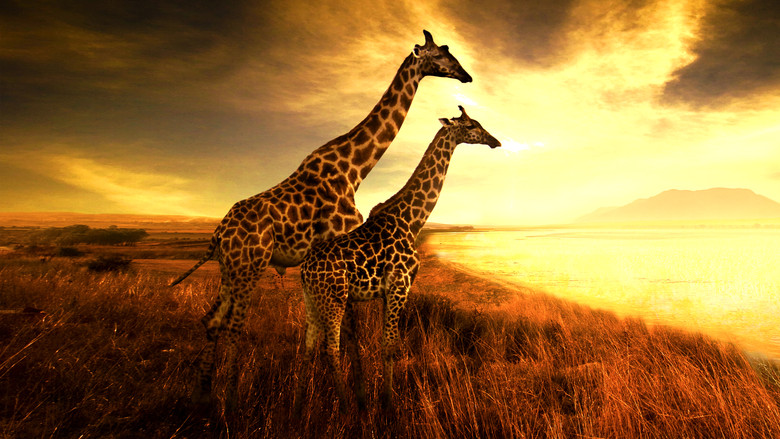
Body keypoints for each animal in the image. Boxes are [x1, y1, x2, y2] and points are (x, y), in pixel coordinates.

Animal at [169, 30, 472, 408]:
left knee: (212, 320)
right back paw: (232, 399)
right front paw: (358, 395)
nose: (466, 76)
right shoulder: (341, 245)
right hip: (250, 266)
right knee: (235, 325)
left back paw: (203, 394)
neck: (354, 168)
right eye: (442, 54)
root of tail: (219, 233)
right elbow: (350, 331)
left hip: (230, 267)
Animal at [296, 106, 501, 414]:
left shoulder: (387, 292)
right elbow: (390, 347)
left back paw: (300, 404)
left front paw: (384, 400)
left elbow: (387, 345)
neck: (413, 220)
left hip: (312, 299)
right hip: (334, 298)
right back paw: (344, 406)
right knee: (330, 348)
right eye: (472, 126)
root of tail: (305, 270)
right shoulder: (399, 287)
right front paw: (389, 405)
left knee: (308, 347)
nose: (495, 141)